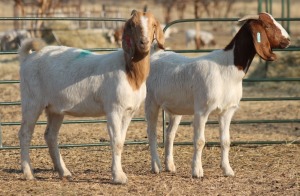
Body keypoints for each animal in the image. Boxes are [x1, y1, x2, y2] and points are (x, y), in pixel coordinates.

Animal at [18, 9, 164, 184]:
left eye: (153, 24)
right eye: (133, 25)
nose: (144, 42)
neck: (131, 73)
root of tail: (27, 58)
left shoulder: (129, 111)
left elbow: (121, 140)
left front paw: (118, 173)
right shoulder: (113, 109)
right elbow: (116, 141)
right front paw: (118, 176)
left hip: (55, 108)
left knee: (50, 136)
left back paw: (64, 172)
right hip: (32, 100)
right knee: (25, 133)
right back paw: (28, 173)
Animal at [146, 12, 290, 178]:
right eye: (266, 25)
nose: (287, 40)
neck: (227, 68)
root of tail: (156, 54)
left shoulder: (227, 111)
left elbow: (225, 141)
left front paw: (228, 170)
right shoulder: (202, 110)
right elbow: (200, 141)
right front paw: (197, 171)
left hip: (175, 108)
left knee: (170, 134)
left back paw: (170, 166)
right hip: (151, 102)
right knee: (152, 132)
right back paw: (156, 166)